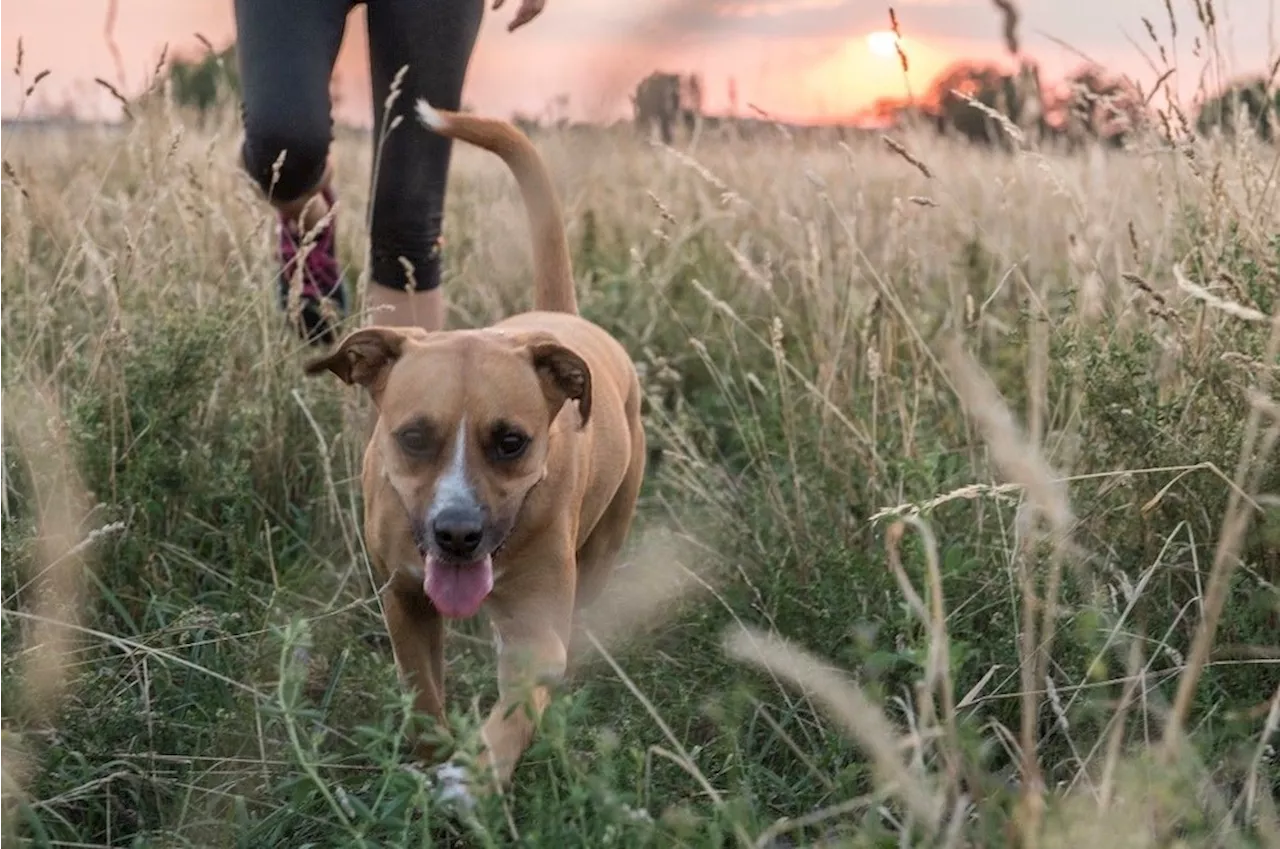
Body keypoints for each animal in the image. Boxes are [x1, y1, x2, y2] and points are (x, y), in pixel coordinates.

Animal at [304, 101, 645, 804]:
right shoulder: (404, 601)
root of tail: (561, 316)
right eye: (413, 436)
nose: (457, 534)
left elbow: (518, 705)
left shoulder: (536, 631)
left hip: (605, 541)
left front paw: (475, 775)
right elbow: (420, 690)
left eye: (511, 441)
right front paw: (433, 756)